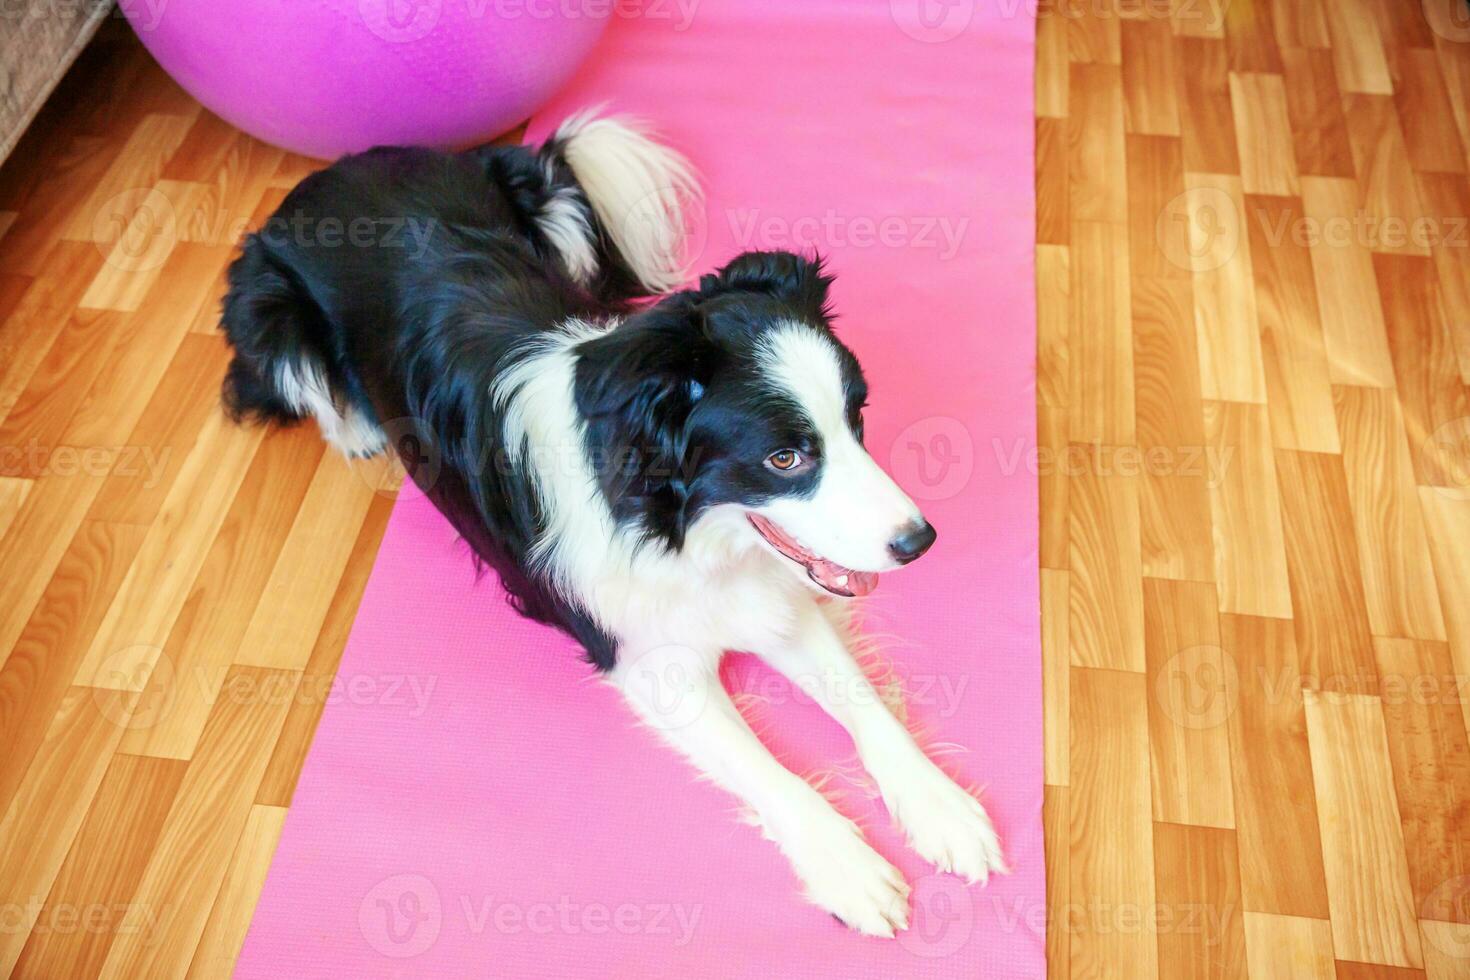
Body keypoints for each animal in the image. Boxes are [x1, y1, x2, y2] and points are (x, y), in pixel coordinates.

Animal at [217, 109, 1005, 934]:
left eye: (858, 419)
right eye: (785, 458)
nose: (919, 542)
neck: (672, 528)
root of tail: (331, 173)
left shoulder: (769, 597)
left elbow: (864, 701)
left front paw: (942, 808)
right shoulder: (647, 659)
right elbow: (767, 770)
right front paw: (848, 867)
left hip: (553, 205)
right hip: (269, 309)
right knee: (304, 386)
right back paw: (357, 429)